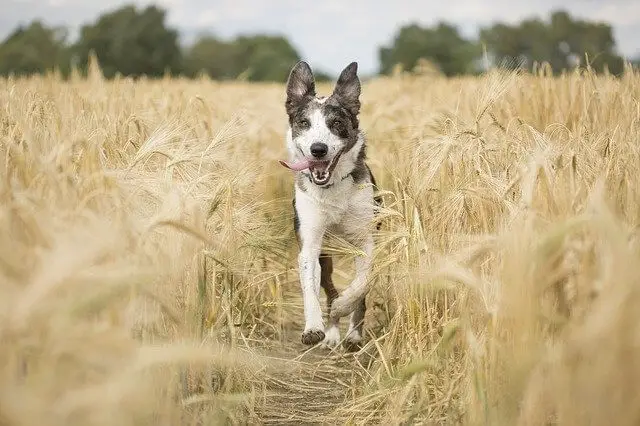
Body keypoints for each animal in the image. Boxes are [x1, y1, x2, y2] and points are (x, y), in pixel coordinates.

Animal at [278, 62, 380, 350]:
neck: (332, 188)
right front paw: (314, 328)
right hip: (326, 254)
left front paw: (345, 307)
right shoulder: (310, 244)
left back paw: (352, 334)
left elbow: (361, 285)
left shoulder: (366, 241)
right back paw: (332, 333)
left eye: (336, 124)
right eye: (304, 123)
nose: (318, 149)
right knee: (328, 286)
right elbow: (309, 287)